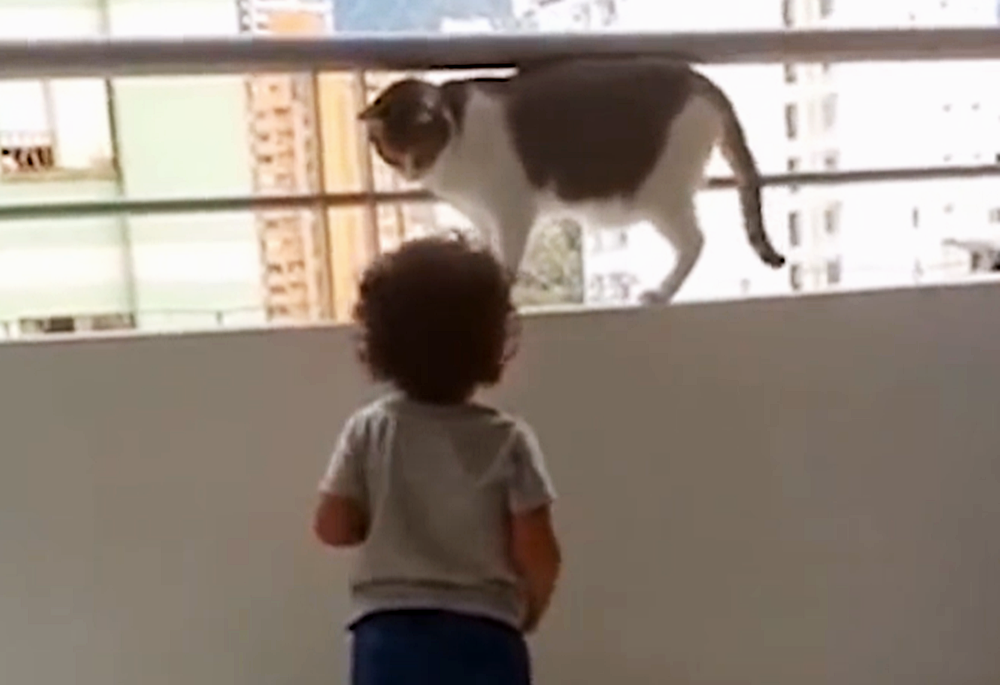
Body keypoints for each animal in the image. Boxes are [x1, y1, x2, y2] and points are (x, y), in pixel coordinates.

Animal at [358, 57, 785, 305]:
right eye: (390, 153)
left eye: (418, 148)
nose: (412, 172)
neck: (457, 136)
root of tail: (699, 80)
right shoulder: (483, 217)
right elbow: (489, 251)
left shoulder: (511, 210)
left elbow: (507, 257)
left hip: (659, 195)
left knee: (694, 242)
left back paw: (662, 292)